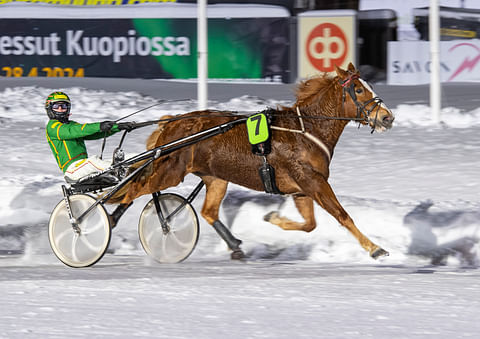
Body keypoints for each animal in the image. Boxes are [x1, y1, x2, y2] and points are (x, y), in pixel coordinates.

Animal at [115, 63, 394, 260]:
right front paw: (375, 248)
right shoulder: (313, 181)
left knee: (207, 211)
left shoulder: (302, 189)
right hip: (170, 172)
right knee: (132, 191)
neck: (306, 131)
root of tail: (170, 122)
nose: (387, 117)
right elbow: (342, 216)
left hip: (215, 177)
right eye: (358, 89)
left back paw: (235, 246)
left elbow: (310, 225)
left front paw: (273, 217)